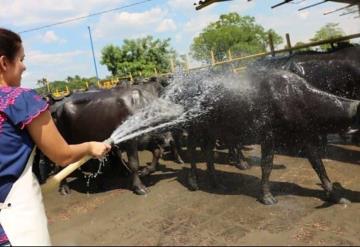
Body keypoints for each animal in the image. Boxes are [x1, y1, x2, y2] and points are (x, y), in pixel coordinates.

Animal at [172, 68, 360, 205]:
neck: (297, 97)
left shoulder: (305, 137)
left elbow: (318, 165)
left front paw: (335, 196)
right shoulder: (268, 136)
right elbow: (267, 165)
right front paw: (267, 196)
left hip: (214, 130)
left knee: (208, 151)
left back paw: (216, 182)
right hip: (196, 127)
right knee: (192, 148)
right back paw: (193, 182)